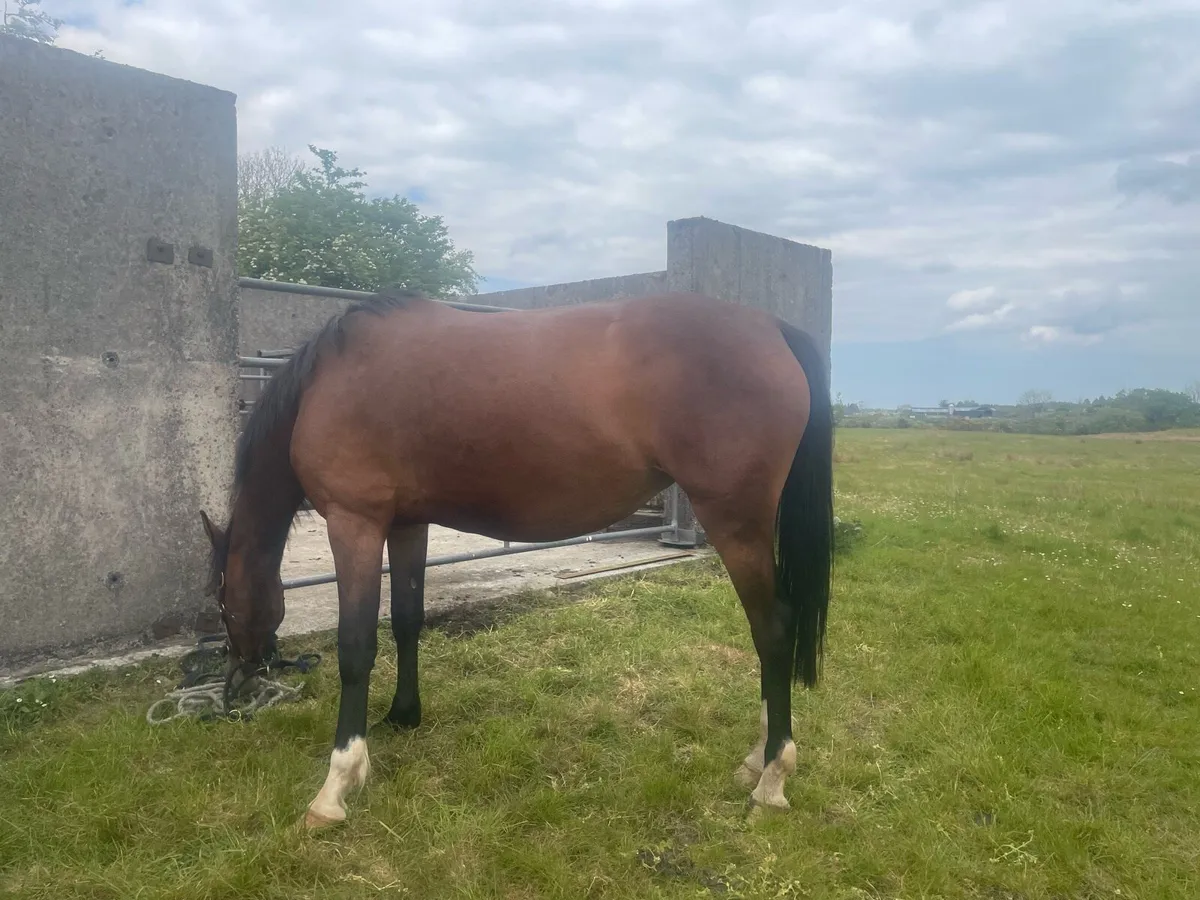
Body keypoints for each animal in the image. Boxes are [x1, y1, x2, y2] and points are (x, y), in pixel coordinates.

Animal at [198, 287, 834, 829]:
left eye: (221, 602)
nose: (236, 686)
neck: (329, 380)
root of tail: (770, 328)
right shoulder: (406, 524)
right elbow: (406, 621)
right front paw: (404, 715)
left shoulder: (354, 521)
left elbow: (356, 648)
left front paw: (336, 786)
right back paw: (757, 757)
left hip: (736, 522)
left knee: (773, 628)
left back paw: (772, 777)